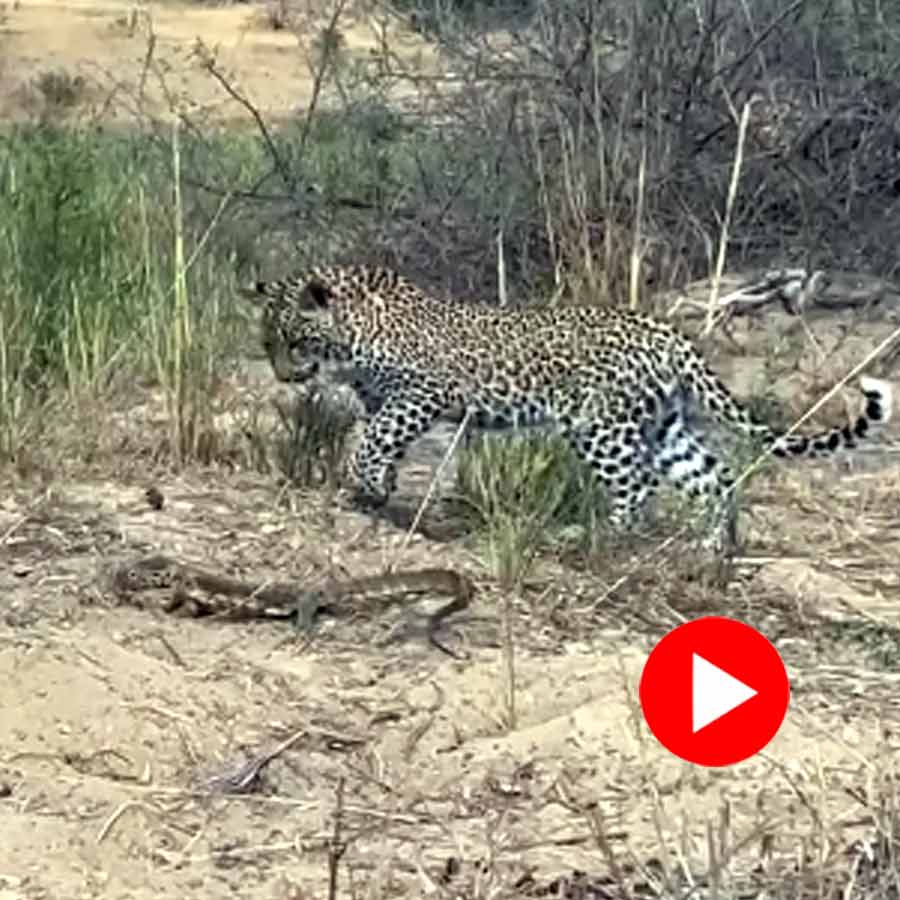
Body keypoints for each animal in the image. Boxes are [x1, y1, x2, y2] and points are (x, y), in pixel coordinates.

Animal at [239, 264, 893, 553]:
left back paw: (598, 537)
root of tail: (669, 334)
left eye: (295, 340)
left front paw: (368, 482)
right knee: (713, 477)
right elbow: (379, 438)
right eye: (267, 343)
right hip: (663, 424)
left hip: (600, 425)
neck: (357, 328)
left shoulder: (421, 394)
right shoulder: (387, 400)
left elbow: (375, 437)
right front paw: (375, 489)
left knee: (637, 483)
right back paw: (713, 551)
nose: (284, 374)